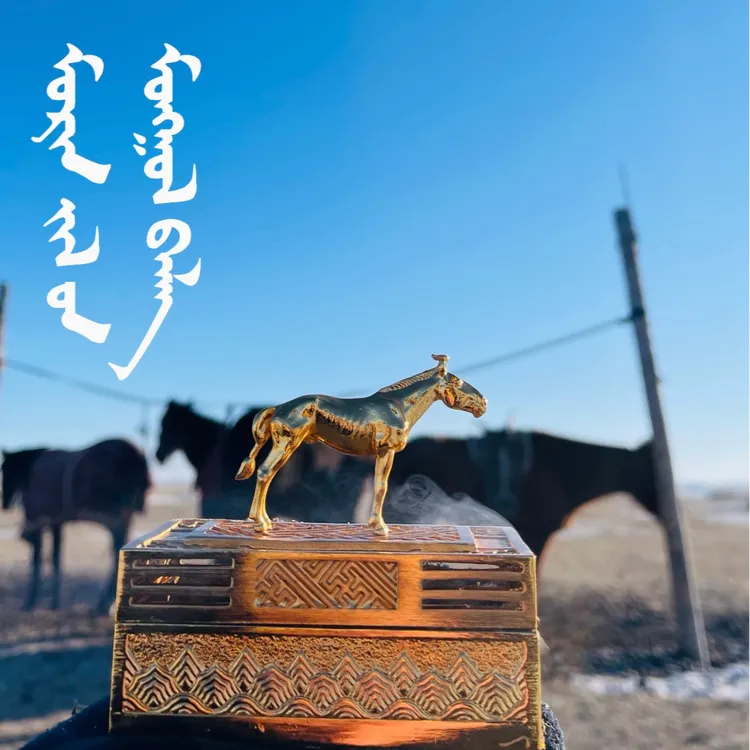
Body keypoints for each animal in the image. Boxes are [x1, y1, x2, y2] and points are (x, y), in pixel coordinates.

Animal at [1, 439, 151, 612]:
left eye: (4, 469)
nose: (5, 504)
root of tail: (136, 456)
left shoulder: (39, 521)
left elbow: (39, 559)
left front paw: (32, 602)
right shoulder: (55, 522)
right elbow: (55, 557)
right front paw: (54, 602)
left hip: (116, 519)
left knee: (116, 553)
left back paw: (104, 604)